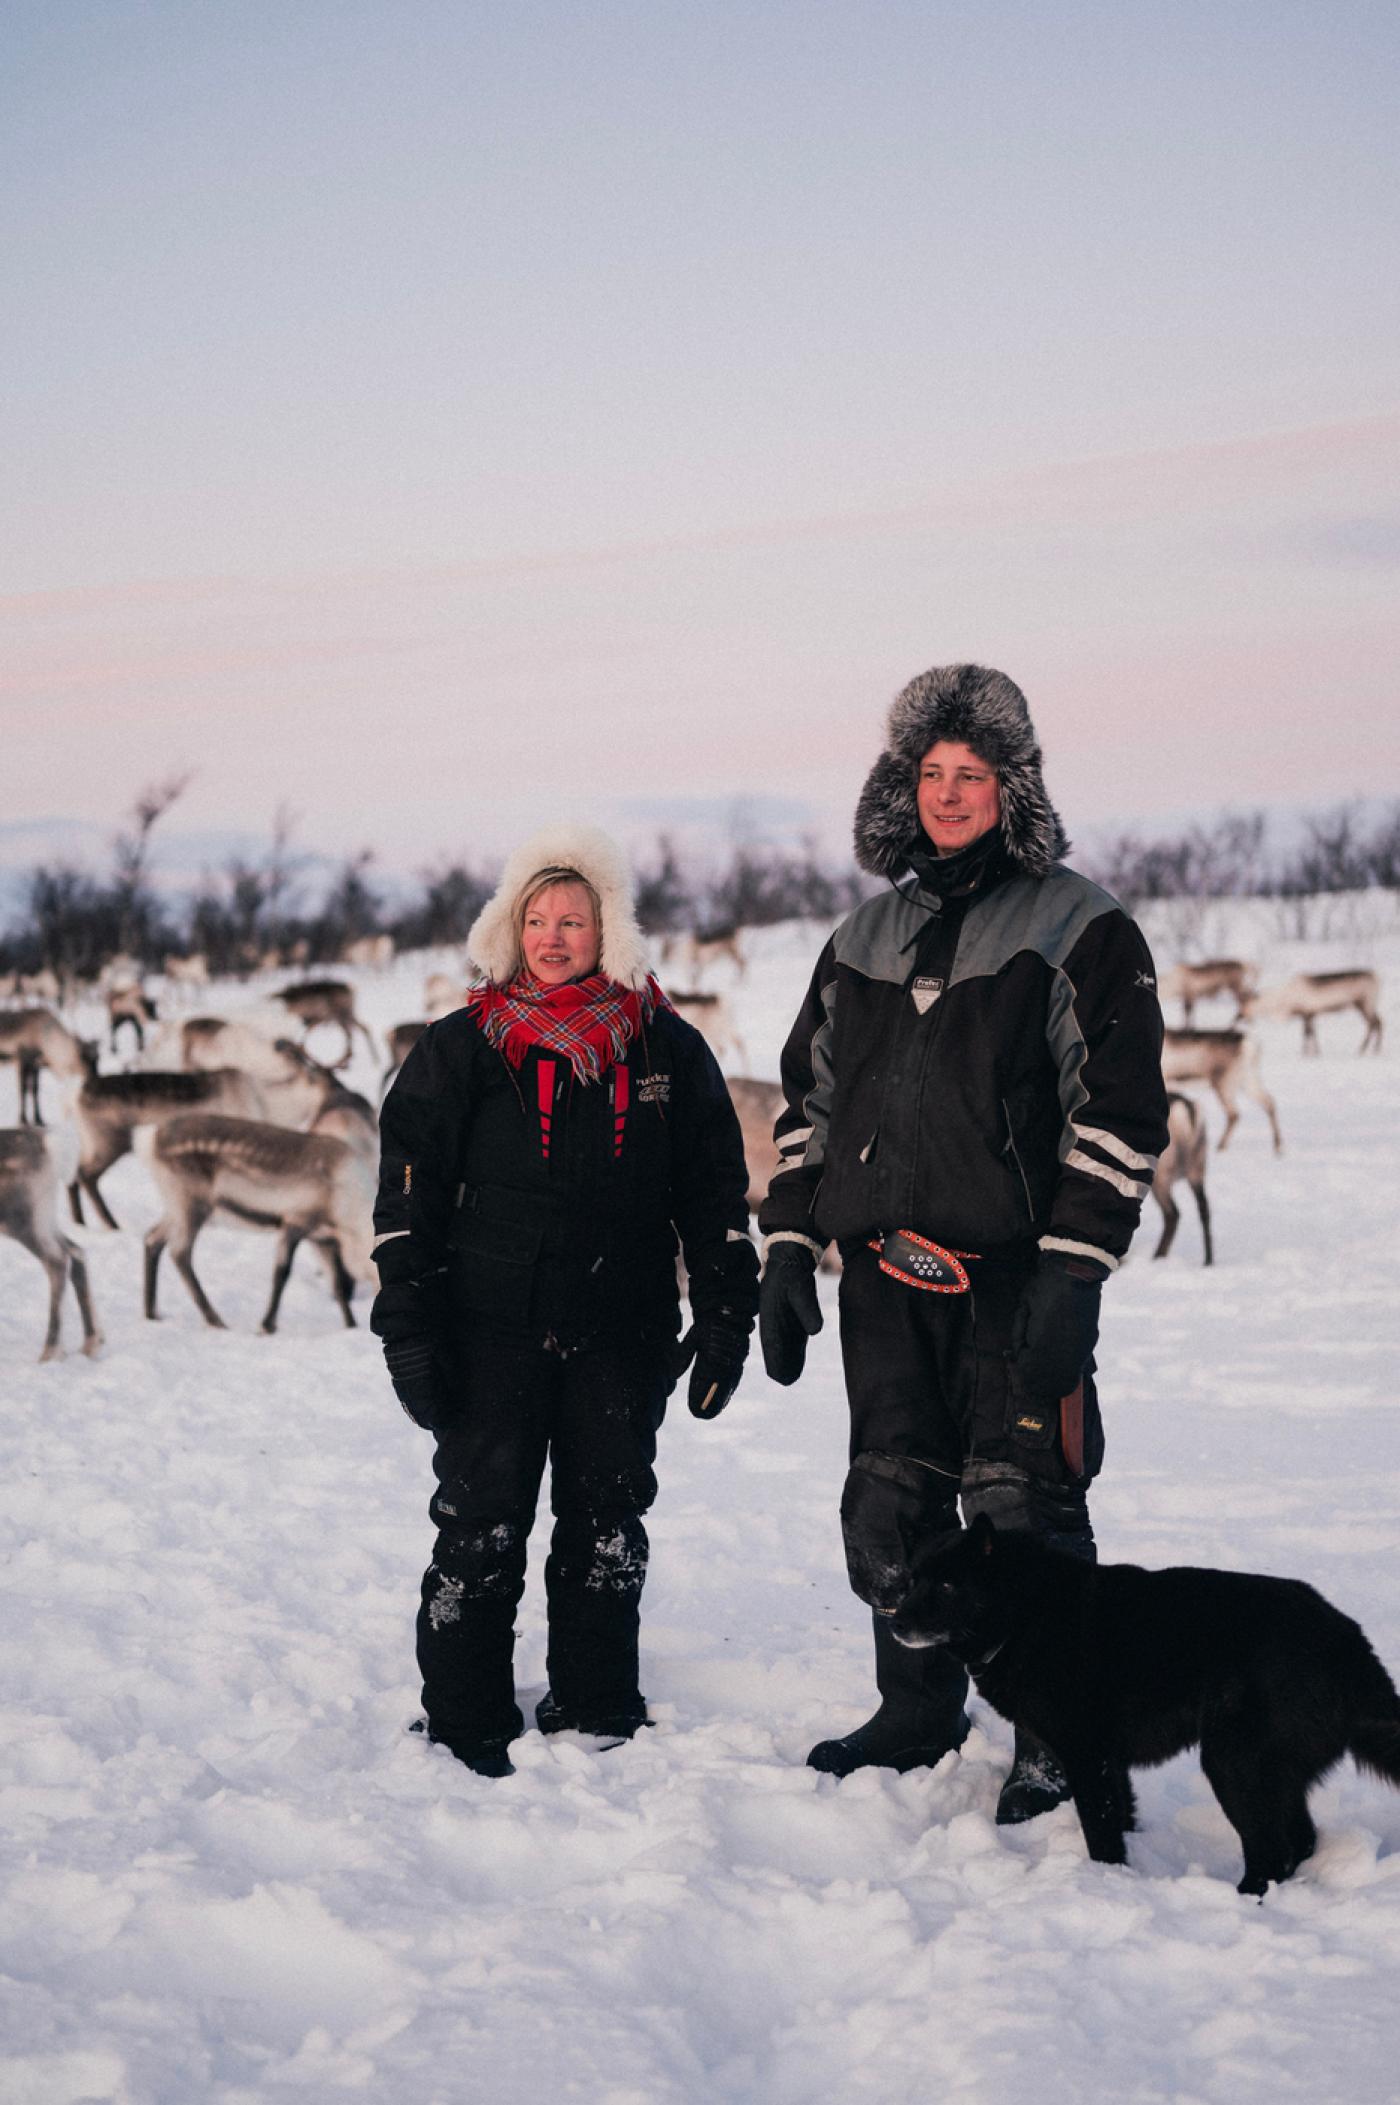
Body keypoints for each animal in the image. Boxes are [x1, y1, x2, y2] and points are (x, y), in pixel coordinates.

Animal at [888, 1515, 1389, 1894]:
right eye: (911, 1581)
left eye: (948, 1585)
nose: (895, 1624)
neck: (1025, 1612)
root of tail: (1347, 1638)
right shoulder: (1111, 1762)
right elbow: (1120, 1818)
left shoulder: (1087, 1757)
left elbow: (1101, 1831)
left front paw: (1104, 1884)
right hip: (1272, 1771)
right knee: (1300, 1840)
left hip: (1233, 1764)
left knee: (1271, 1849)